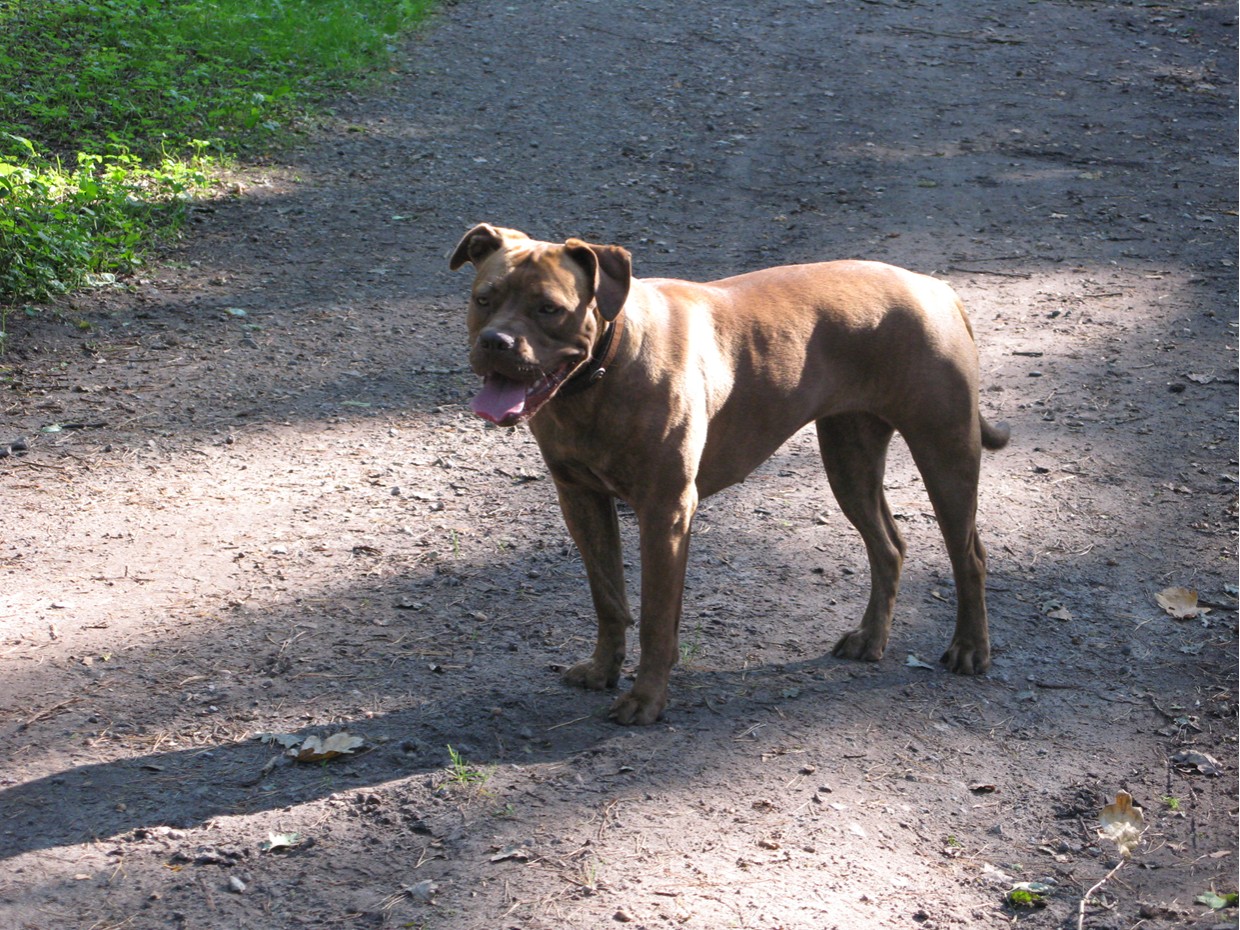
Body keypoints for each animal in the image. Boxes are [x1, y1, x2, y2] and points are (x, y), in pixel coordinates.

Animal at [451, 225, 1011, 729]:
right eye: (484, 298)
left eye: (549, 308)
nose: (495, 342)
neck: (602, 368)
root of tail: (935, 287)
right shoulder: (580, 500)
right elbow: (607, 596)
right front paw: (602, 669)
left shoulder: (666, 512)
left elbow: (656, 617)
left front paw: (646, 700)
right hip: (849, 460)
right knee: (888, 545)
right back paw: (870, 639)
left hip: (944, 452)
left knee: (969, 554)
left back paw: (969, 649)